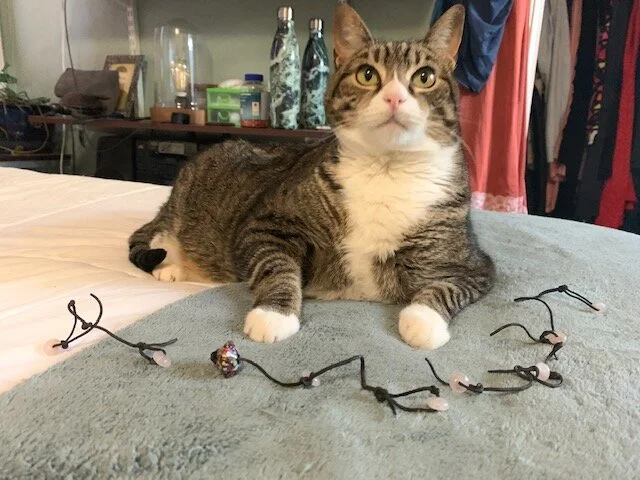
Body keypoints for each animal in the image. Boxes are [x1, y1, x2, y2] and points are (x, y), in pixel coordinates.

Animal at [128, 3, 495, 349]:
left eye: (424, 76)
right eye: (367, 74)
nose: (394, 97)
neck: (386, 167)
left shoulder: (474, 266)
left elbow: (447, 287)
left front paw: (423, 321)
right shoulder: (264, 224)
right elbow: (276, 266)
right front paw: (274, 314)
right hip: (187, 200)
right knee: (160, 234)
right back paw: (171, 265)